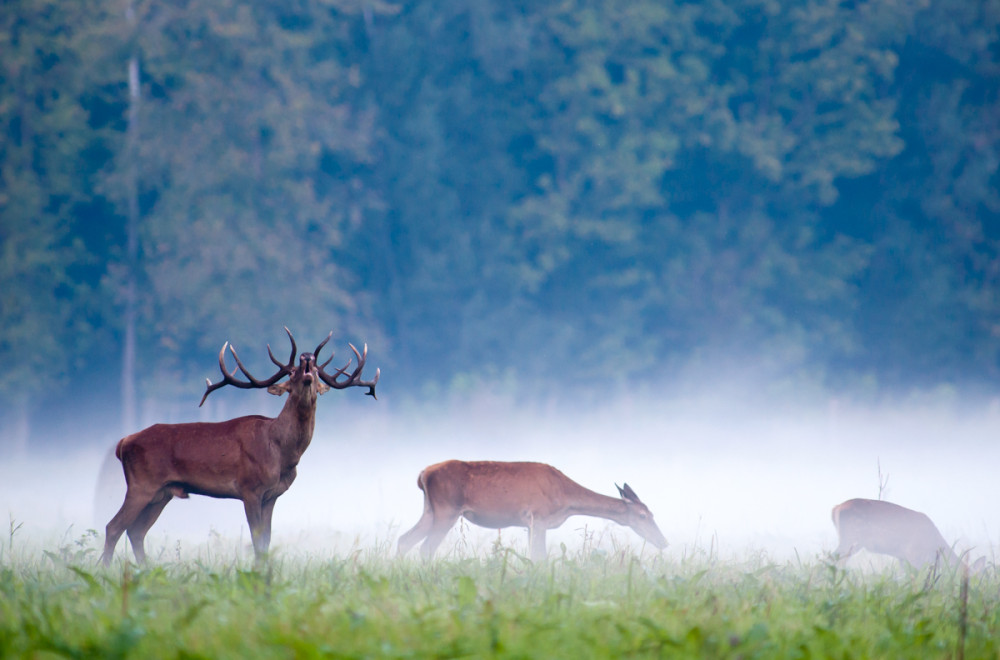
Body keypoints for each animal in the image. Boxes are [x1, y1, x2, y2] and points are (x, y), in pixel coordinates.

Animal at [99, 328, 376, 564]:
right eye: (292, 373)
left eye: (316, 370)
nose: (307, 357)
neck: (282, 452)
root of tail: (123, 443)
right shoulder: (250, 488)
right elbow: (256, 540)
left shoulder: (272, 494)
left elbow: (267, 541)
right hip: (141, 484)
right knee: (114, 527)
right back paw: (106, 570)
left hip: (162, 493)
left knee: (135, 531)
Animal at [394, 458, 668, 564]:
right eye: (643, 516)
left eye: (653, 514)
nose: (663, 542)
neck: (565, 498)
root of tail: (423, 475)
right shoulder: (538, 517)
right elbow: (540, 557)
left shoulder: (530, 523)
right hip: (447, 509)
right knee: (425, 547)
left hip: (430, 510)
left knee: (404, 539)